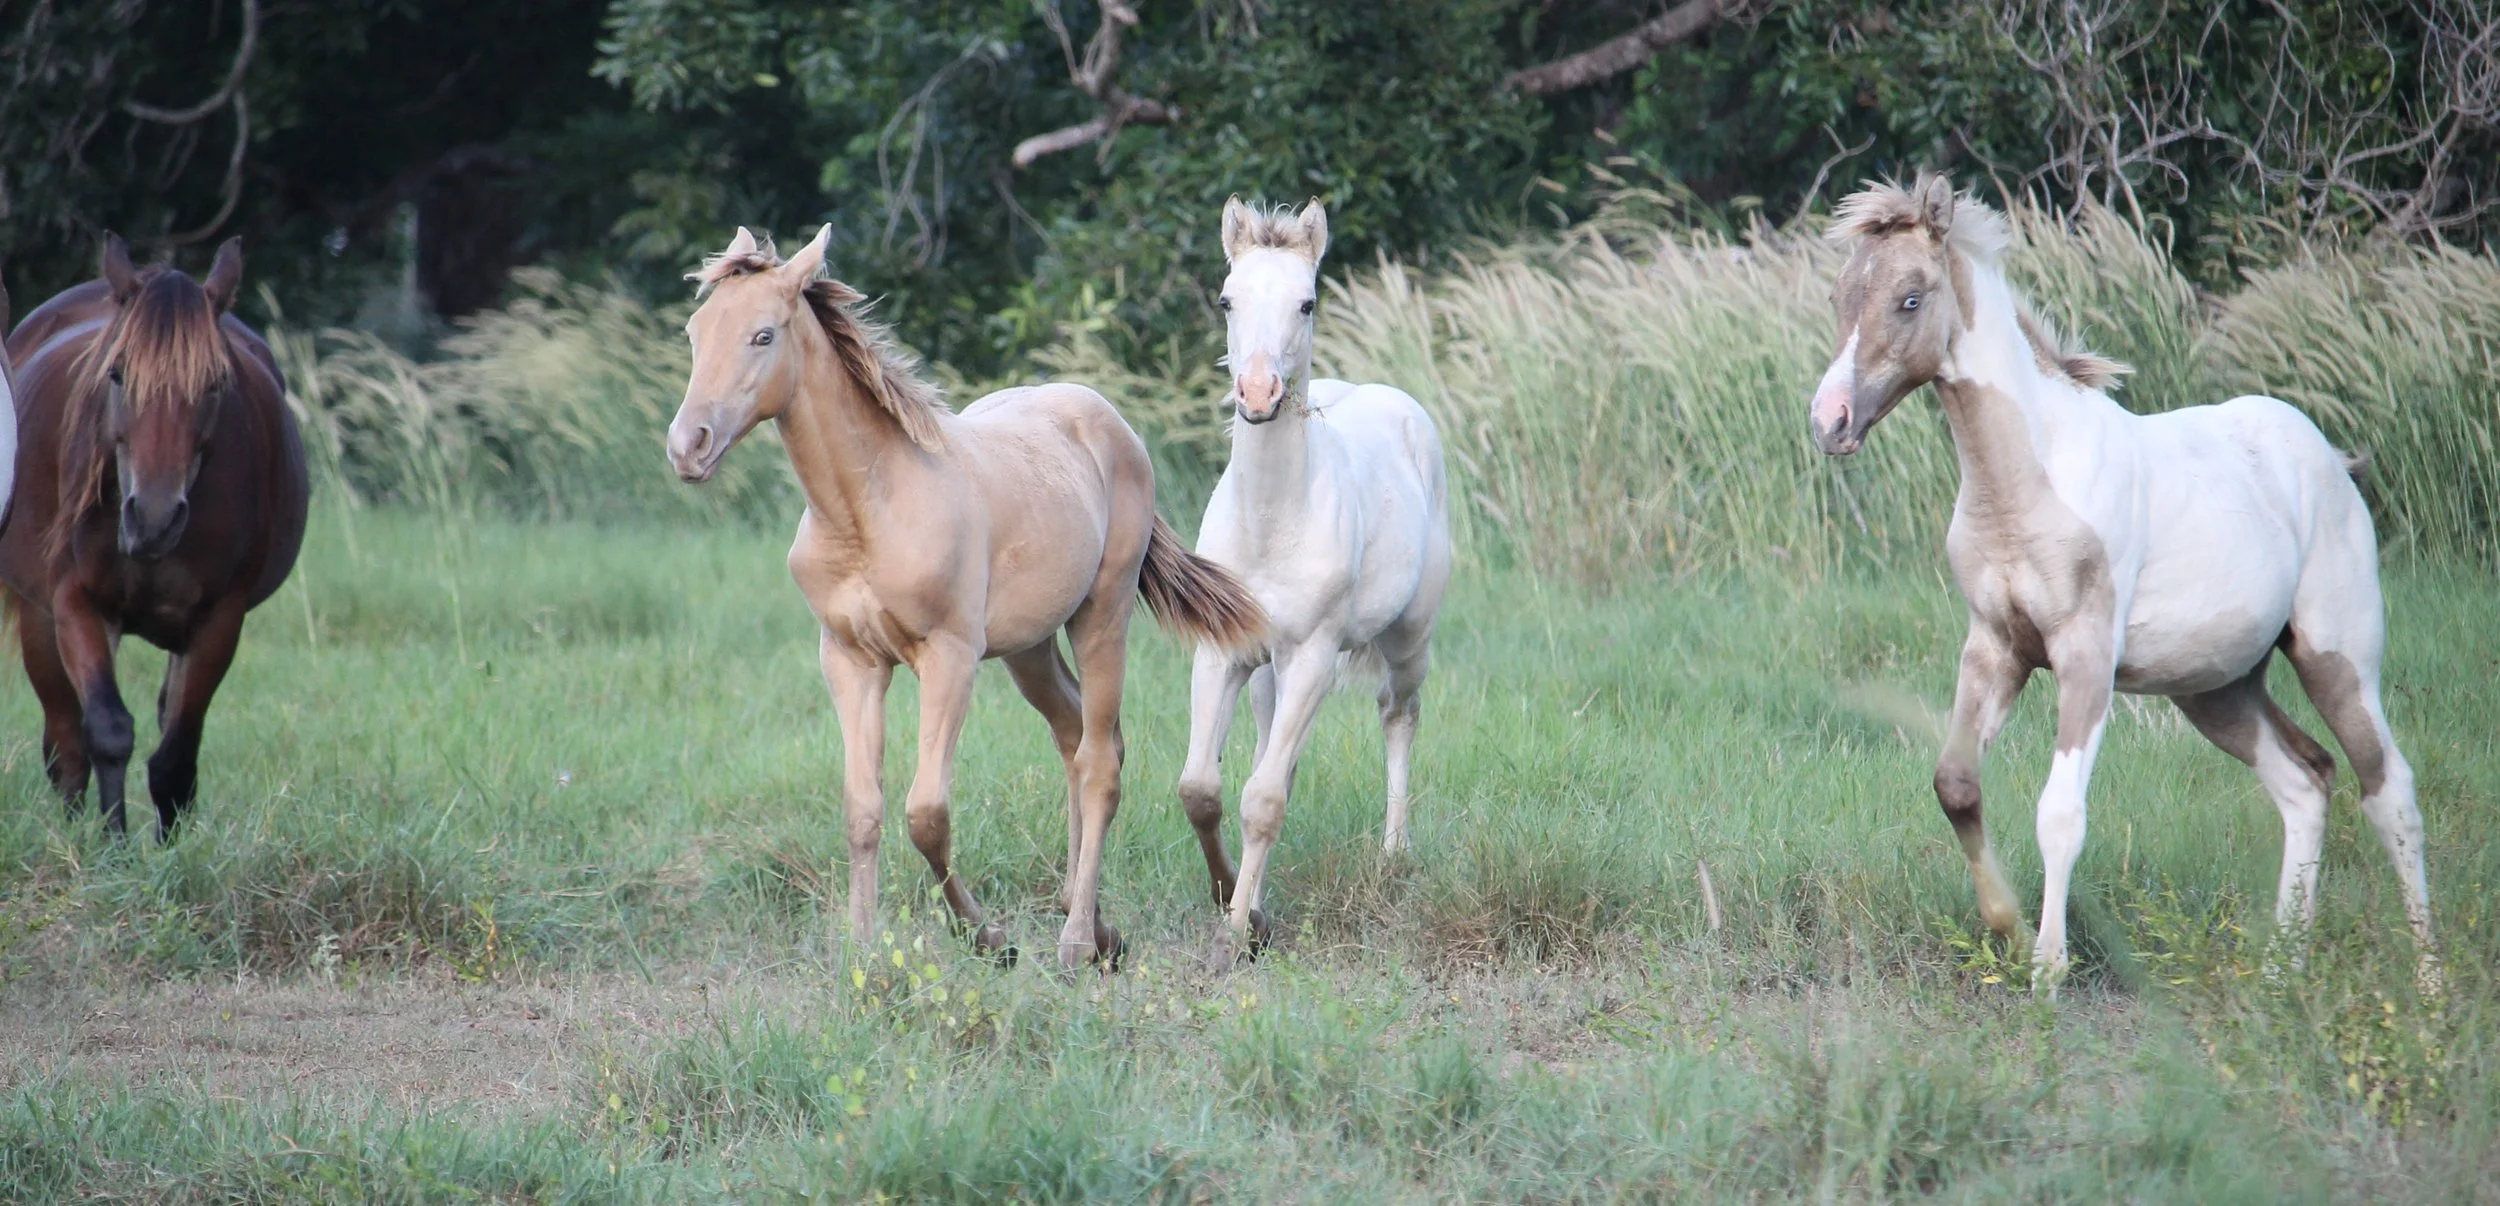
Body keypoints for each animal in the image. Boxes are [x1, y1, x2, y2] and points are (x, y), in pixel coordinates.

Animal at [2, 235, 309, 839]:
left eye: (215, 383)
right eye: (117, 374)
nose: (154, 517)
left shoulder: (219, 618)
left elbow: (175, 757)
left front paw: (171, 852)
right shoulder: (74, 603)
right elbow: (106, 731)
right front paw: (113, 846)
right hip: (40, 620)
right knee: (65, 741)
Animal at [665, 225, 1266, 970]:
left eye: (763, 335)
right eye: (695, 332)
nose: (688, 446)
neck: (869, 509)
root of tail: (1109, 421)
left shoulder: (947, 657)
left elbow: (926, 814)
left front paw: (988, 936)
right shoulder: (850, 660)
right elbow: (862, 809)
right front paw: (862, 951)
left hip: (1102, 614)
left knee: (1099, 760)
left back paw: (1077, 942)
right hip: (1029, 647)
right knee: (1077, 736)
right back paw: (1095, 922)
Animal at [1175, 199, 1453, 971]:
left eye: (1307, 302)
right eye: (1227, 299)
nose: (1258, 394)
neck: (1272, 523)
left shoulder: (1313, 659)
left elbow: (1263, 799)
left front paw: (1235, 936)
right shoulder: (1225, 653)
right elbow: (1204, 788)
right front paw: (1236, 898)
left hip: (1408, 640)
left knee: (1399, 715)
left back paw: (1393, 855)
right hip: (1268, 673)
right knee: (1277, 758)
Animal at [1808, 174, 2436, 989]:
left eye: (1911, 298)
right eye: (1840, 295)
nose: (1829, 420)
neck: (2026, 484)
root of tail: (2330, 457)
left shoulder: (2085, 655)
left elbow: (2060, 814)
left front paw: (2048, 971)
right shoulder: (1994, 647)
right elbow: (1955, 784)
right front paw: (2008, 926)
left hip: (2338, 656)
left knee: (2390, 792)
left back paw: (2428, 982)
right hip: (2217, 687)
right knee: (2307, 781)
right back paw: (2279, 971)